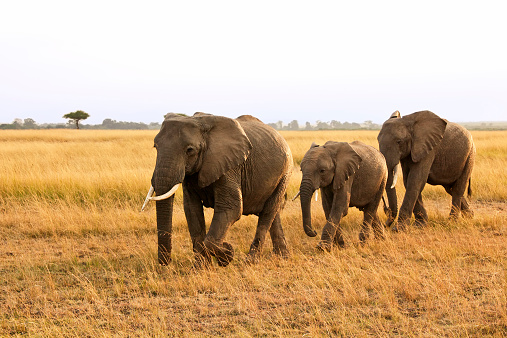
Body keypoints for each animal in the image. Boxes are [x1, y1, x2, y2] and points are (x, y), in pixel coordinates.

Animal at [143, 113, 294, 266]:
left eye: (190, 150)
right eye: (155, 146)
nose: (165, 263)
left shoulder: (230, 166)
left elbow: (231, 209)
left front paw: (227, 254)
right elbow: (192, 209)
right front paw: (201, 267)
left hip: (285, 173)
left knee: (268, 213)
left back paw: (250, 261)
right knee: (273, 214)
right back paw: (283, 257)